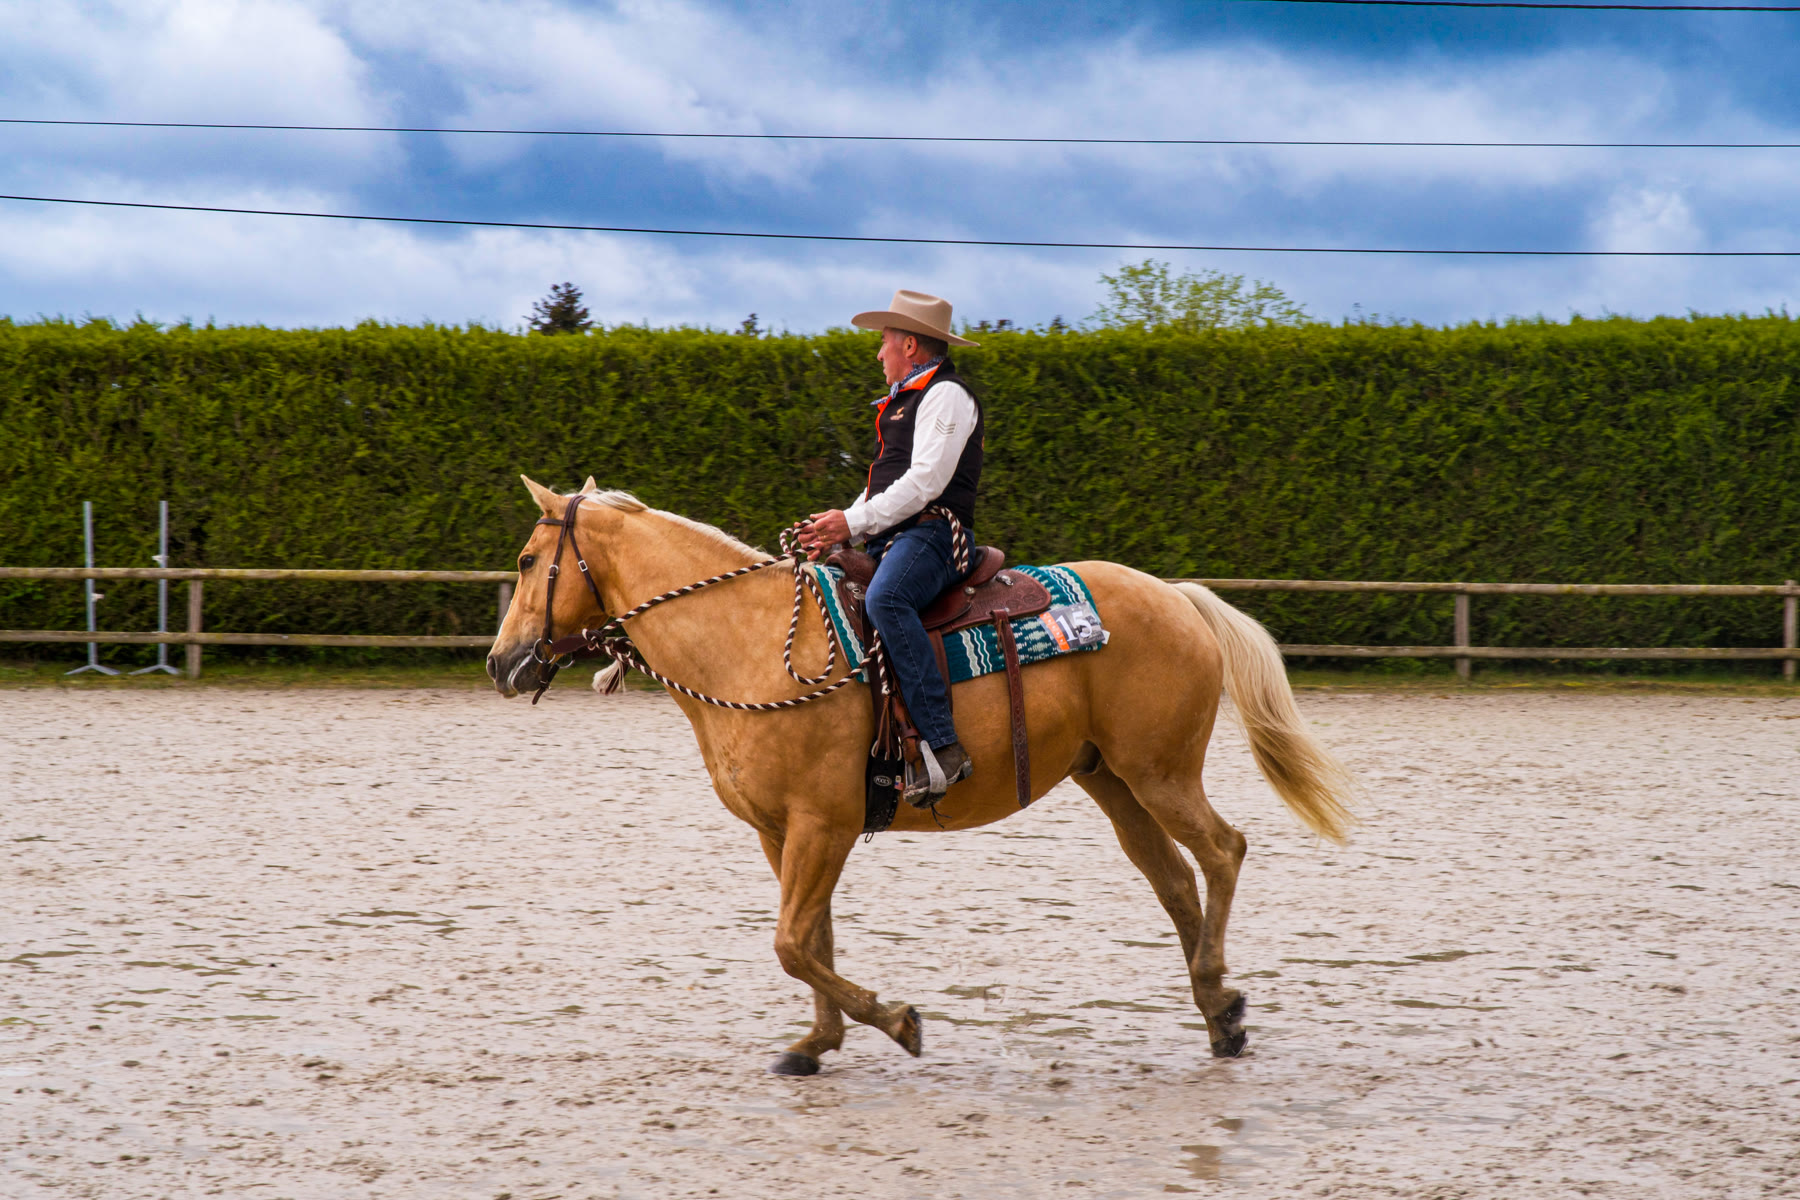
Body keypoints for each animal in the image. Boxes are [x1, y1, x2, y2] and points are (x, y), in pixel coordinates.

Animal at [486, 476, 1355, 1075]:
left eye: (529, 560)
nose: (501, 662)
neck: (752, 641)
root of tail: (1175, 598)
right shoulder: (785, 832)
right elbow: (812, 938)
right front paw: (816, 1041)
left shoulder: (825, 824)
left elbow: (792, 942)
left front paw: (898, 1021)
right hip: (1113, 781)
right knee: (1174, 879)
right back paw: (1219, 1013)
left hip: (1161, 772)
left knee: (1223, 851)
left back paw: (1219, 995)